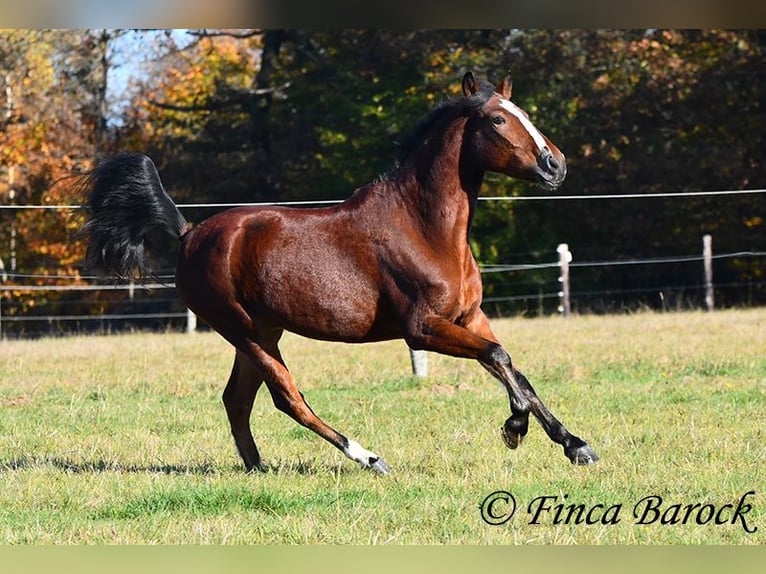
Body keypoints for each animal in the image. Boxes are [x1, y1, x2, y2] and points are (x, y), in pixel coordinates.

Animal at [82, 73, 600, 476]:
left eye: (524, 112)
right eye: (497, 119)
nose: (556, 165)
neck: (423, 227)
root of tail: (189, 233)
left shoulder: (469, 317)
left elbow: (513, 368)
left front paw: (573, 444)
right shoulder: (423, 330)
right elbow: (498, 357)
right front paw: (517, 430)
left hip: (260, 332)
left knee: (237, 400)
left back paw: (258, 468)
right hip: (245, 332)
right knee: (287, 398)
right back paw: (368, 458)